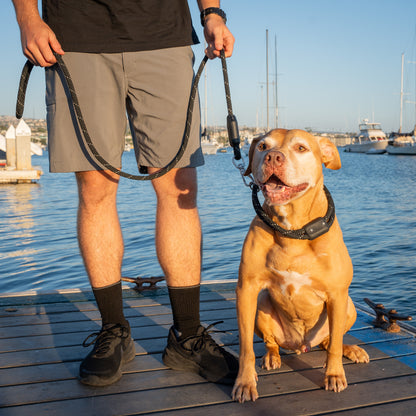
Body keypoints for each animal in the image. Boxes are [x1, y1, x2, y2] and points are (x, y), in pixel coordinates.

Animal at [232, 129, 368, 404]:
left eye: (301, 148)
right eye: (262, 146)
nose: (273, 157)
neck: (292, 230)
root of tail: (301, 346)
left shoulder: (337, 295)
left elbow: (334, 346)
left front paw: (334, 375)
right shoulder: (247, 290)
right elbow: (246, 347)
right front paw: (244, 382)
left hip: (348, 307)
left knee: (331, 341)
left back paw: (351, 350)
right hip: (262, 304)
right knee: (271, 342)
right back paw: (272, 356)